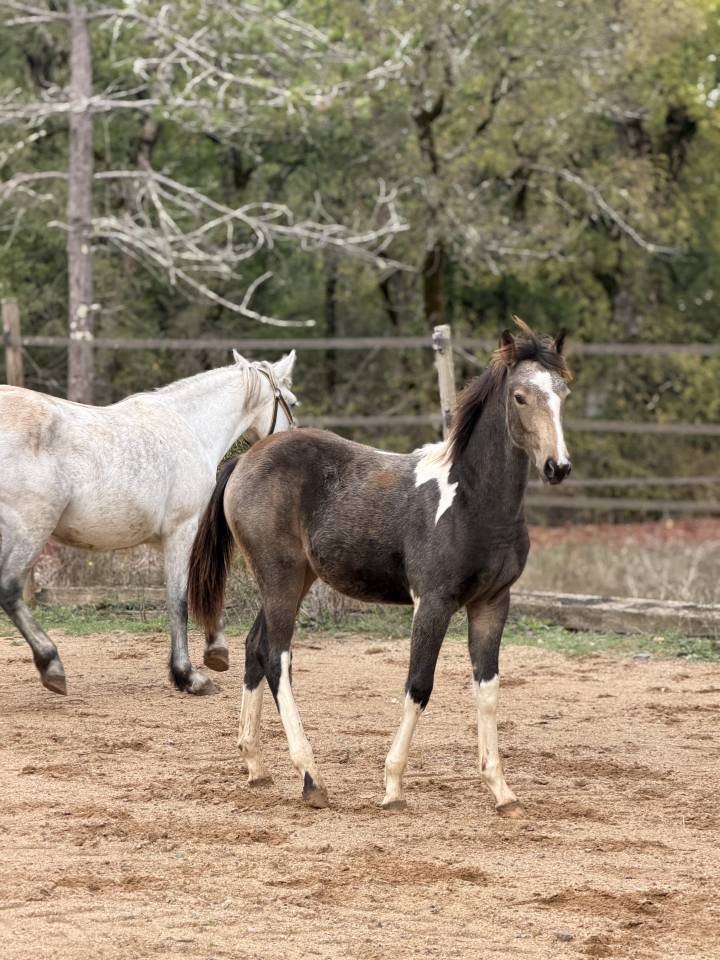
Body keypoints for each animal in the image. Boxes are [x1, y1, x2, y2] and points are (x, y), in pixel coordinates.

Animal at [0, 349, 297, 697]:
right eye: (292, 402)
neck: (191, 427)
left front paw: (216, 651)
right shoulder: (181, 531)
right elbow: (180, 598)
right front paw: (188, 675)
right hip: (30, 529)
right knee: (9, 589)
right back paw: (51, 665)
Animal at [187, 320, 572, 814]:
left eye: (562, 392)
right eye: (521, 396)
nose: (558, 466)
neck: (472, 501)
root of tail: (242, 460)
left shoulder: (492, 604)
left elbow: (487, 689)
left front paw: (503, 792)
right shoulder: (433, 602)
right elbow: (419, 685)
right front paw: (392, 787)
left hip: (295, 579)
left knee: (256, 647)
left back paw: (255, 765)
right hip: (279, 575)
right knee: (277, 657)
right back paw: (311, 778)